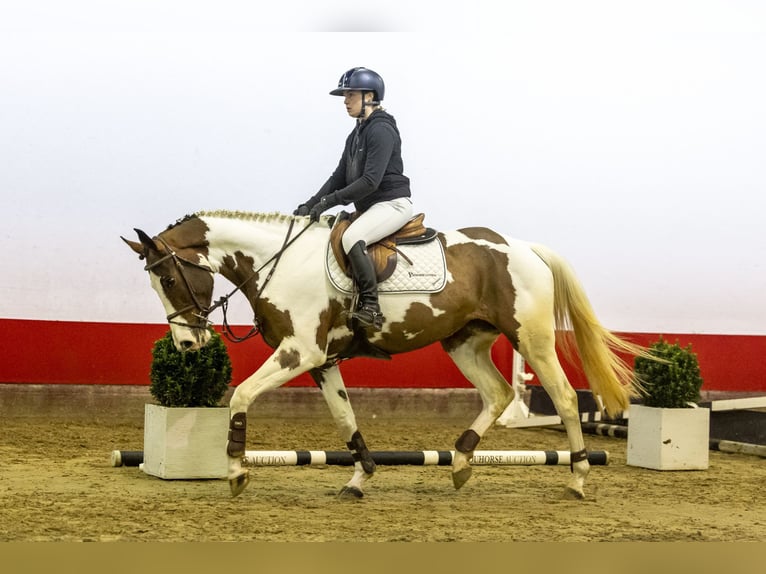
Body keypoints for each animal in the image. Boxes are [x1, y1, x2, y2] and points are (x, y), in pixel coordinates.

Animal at [124, 210, 648, 500]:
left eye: (167, 278)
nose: (187, 345)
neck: (280, 261)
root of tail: (525, 249)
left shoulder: (300, 353)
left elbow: (240, 396)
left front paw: (235, 472)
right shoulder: (322, 361)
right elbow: (345, 418)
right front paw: (360, 478)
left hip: (531, 338)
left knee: (563, 396)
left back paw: (577, 478)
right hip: (464, 341)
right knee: (498, 393)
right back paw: (460, 463)